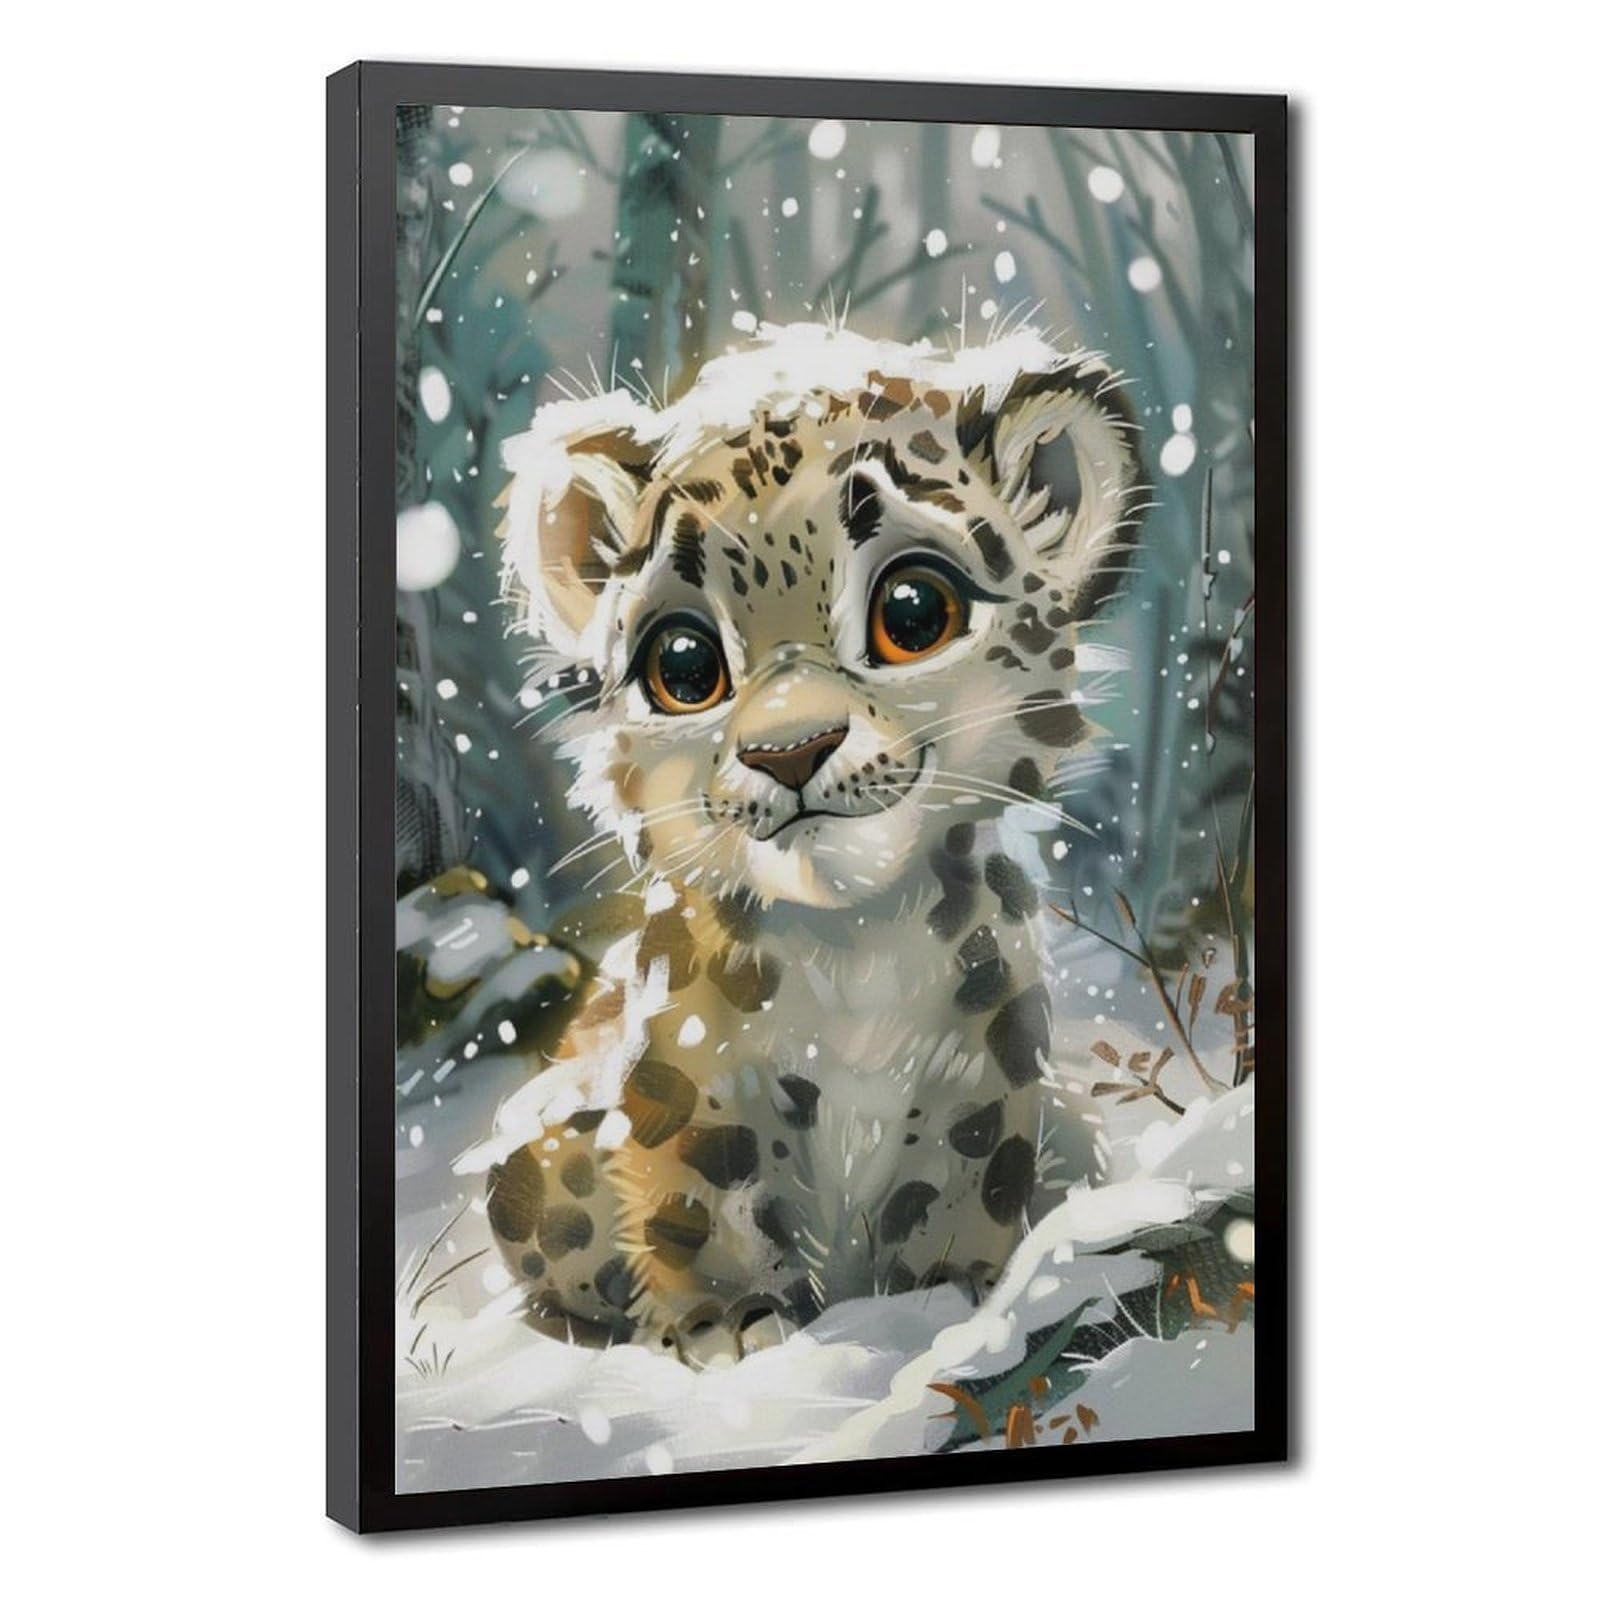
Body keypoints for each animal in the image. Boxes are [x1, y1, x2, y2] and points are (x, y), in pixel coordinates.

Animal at [471, 320, 1145, 1367]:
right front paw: (735, 1329)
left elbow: (954, 1195)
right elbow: (702, 1203)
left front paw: (942, 1305)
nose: (789, 750)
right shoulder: (689, 1080)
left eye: (914, 611)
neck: (857, 950)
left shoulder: (985, 1073)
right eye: (682, 664)